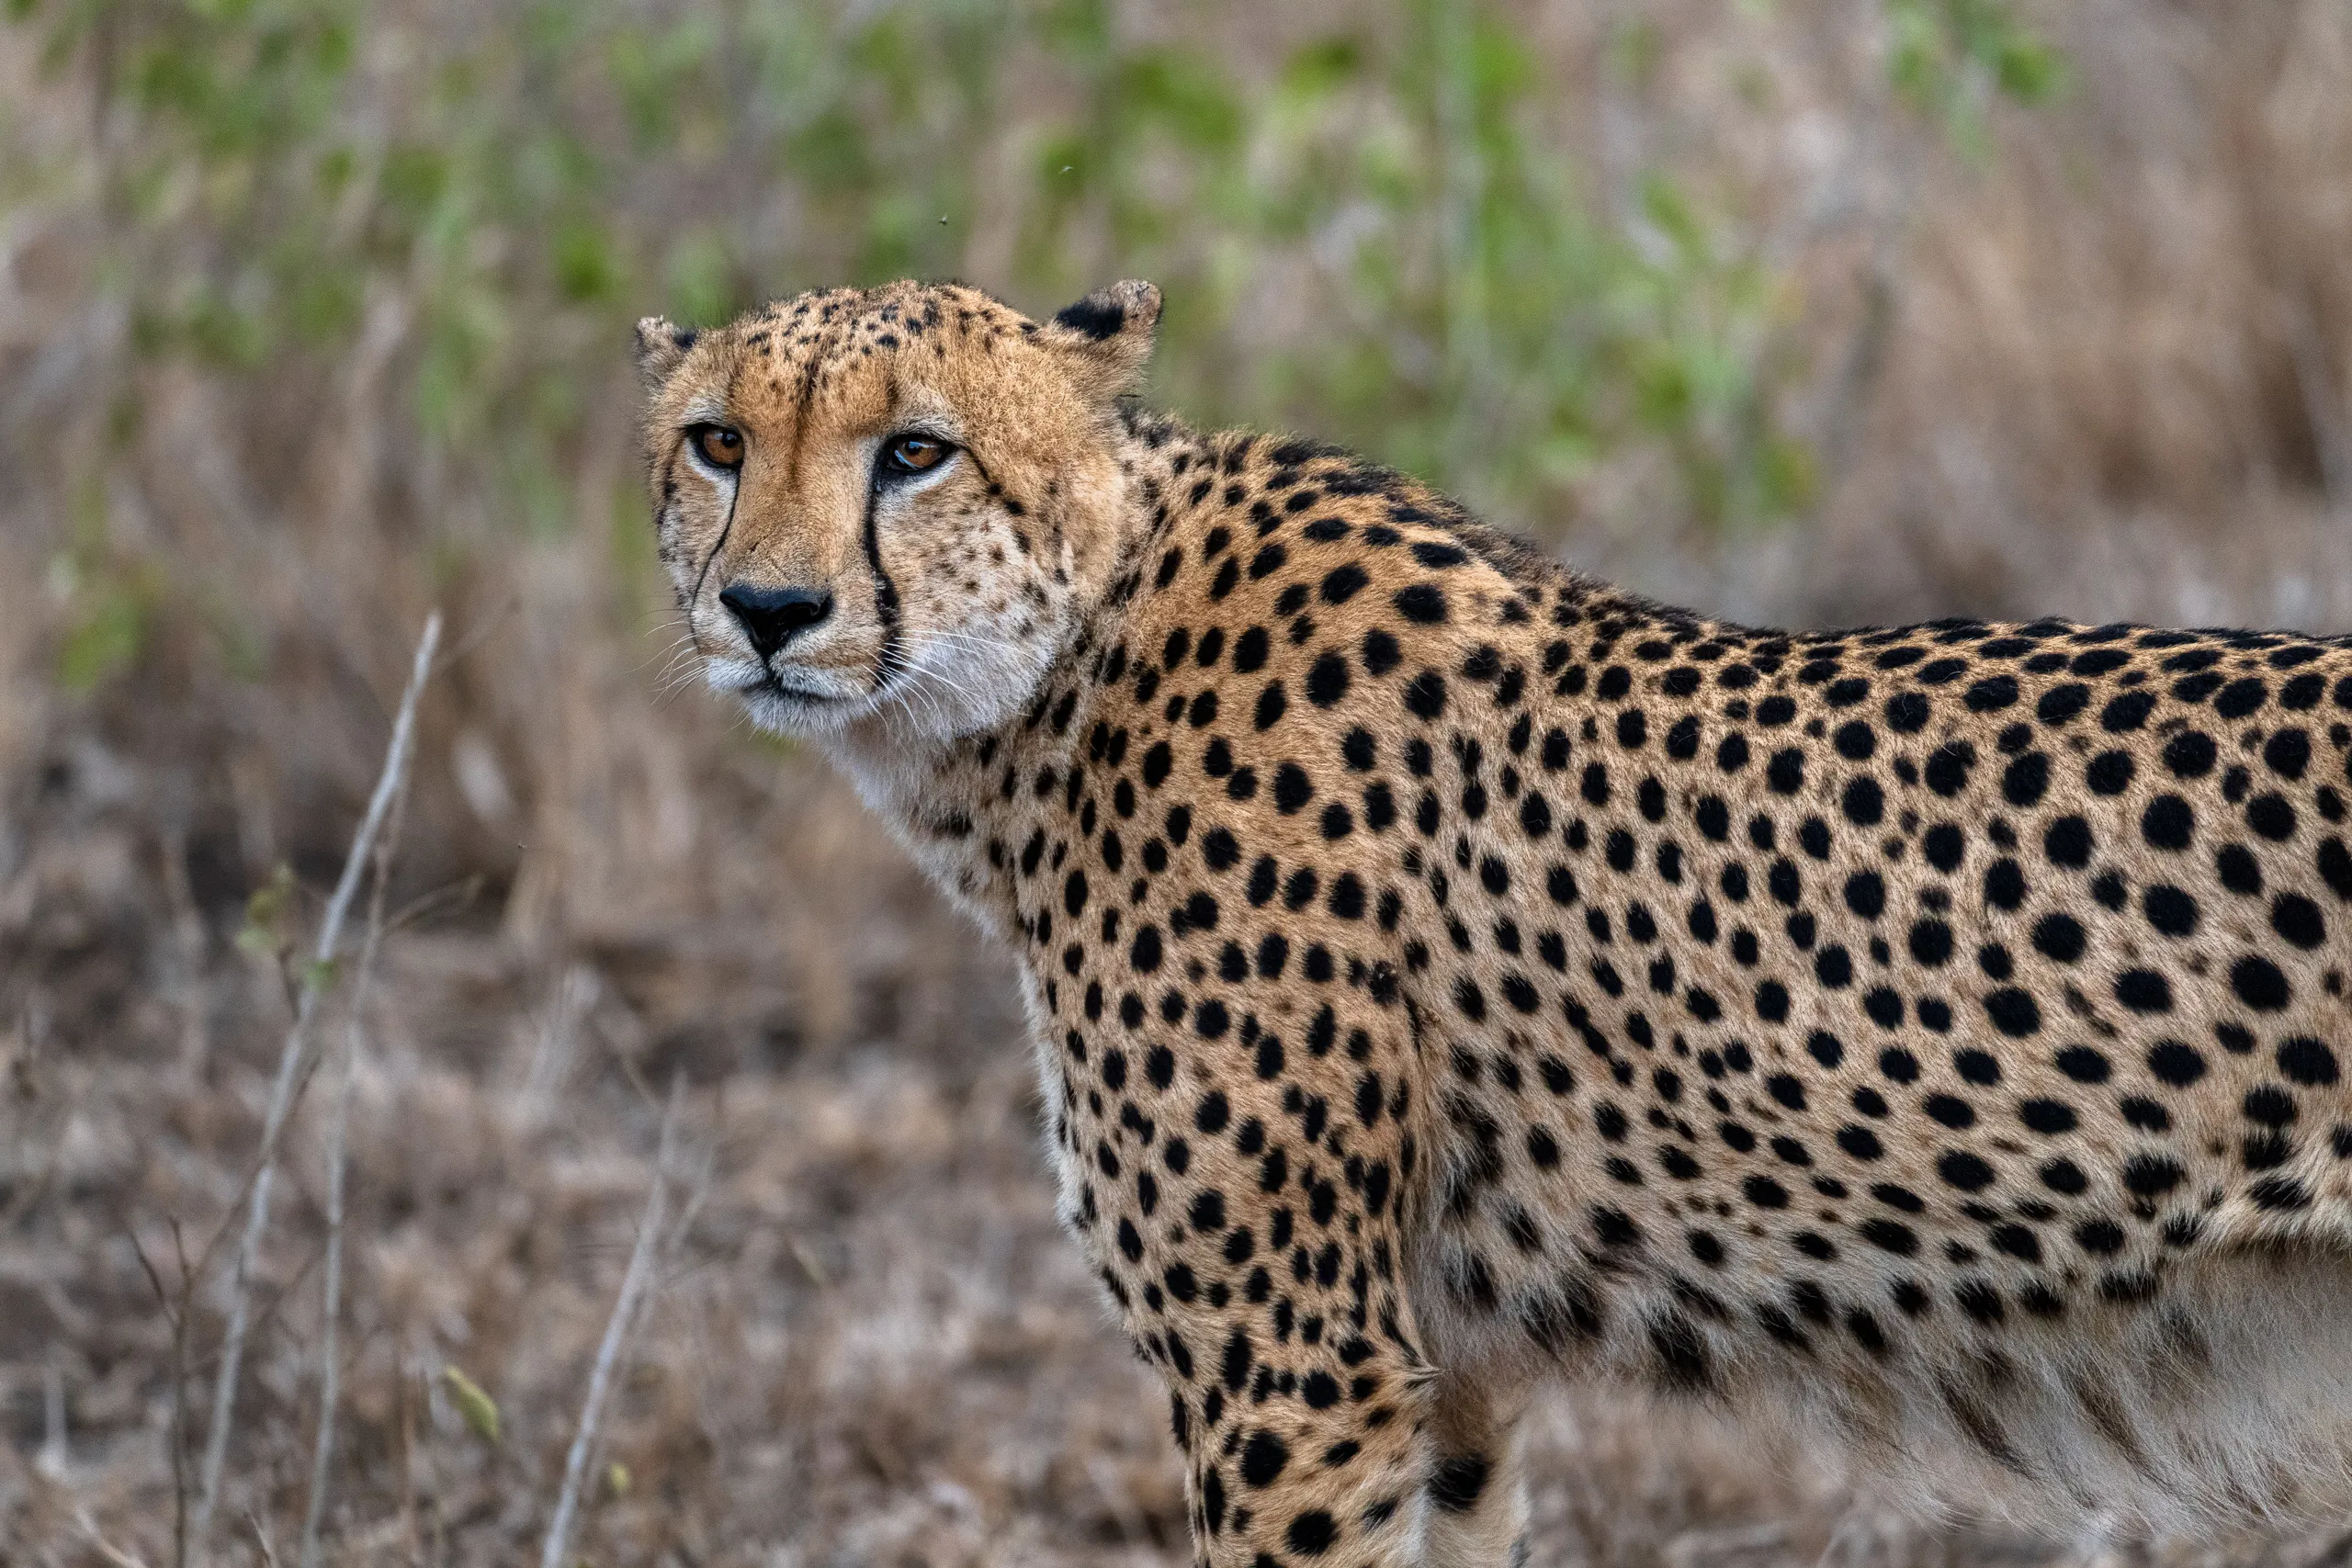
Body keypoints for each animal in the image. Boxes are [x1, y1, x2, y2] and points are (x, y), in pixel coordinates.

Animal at [635, 277, 2352, 1567]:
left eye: (917, 452)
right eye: (717, 443)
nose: (768, 612)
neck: (1073, 654)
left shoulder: (1294, 1366)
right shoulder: (1439, 1376)